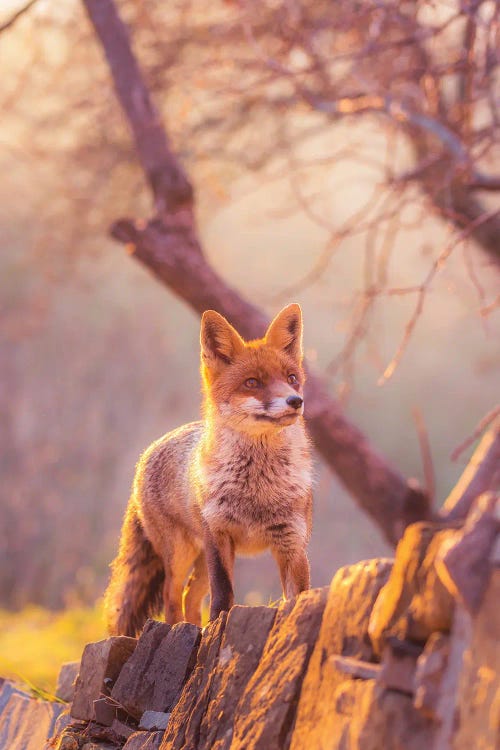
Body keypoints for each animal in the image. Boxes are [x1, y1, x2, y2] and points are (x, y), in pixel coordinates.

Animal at [103, 306, 310, 636]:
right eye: (252, 382)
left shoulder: (291, 540)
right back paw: (179, 630)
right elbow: (223, 594)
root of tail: (147, 452)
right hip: (182, 553)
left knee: (190, 596)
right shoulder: (219, 537)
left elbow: (299, 595)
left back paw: (195, 629)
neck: (258, 490)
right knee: (172, 595)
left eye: (292, 378)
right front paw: (218, 626)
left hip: (200, 559)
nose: (295, 401)